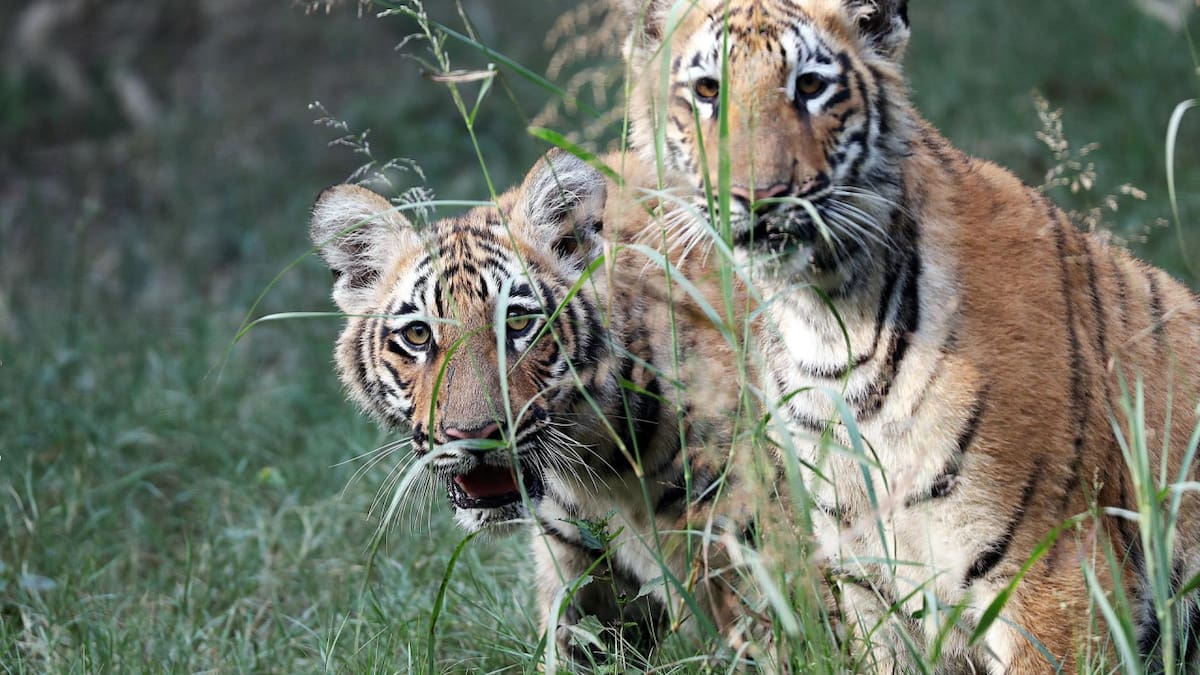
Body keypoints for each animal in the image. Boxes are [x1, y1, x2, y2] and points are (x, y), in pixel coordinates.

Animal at [623, 0, 1200, 671]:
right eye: (708, 91)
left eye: (810, 86)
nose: (758, 197)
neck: (827, 326)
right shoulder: (870, 583)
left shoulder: (1055, 576)